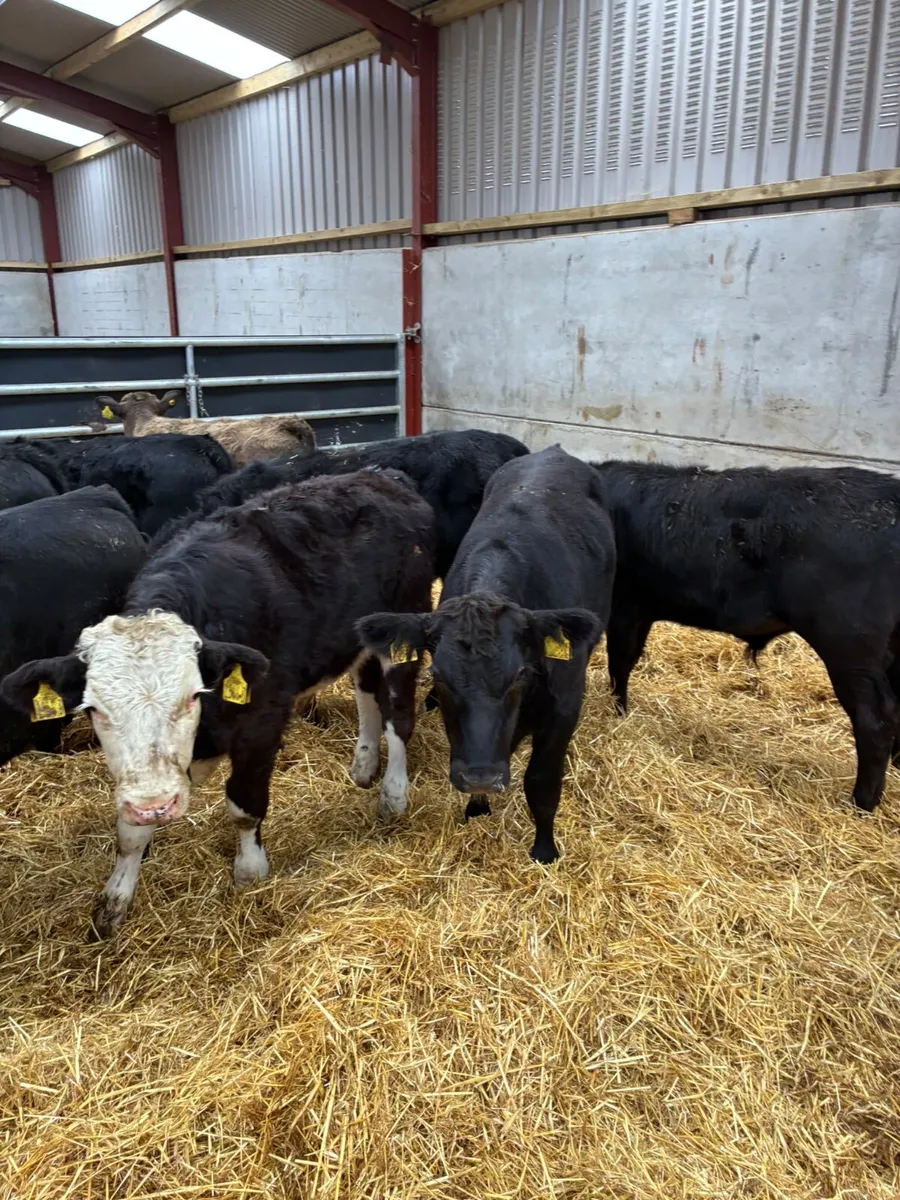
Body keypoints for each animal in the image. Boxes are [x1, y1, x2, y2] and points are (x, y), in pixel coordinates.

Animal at [358, 446, 615, 865]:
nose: (480, 776)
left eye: (520, 674)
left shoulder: (565, 704)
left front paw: (544, 850)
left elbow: (542, 782)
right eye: (438, 676)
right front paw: (476, 809)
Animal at [591, 459, 900, 813]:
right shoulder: (640, 609)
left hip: (848, 642)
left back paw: (861, 803)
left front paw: (616, 713)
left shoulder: (624, 606)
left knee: (876, 716)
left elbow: (619, 662)